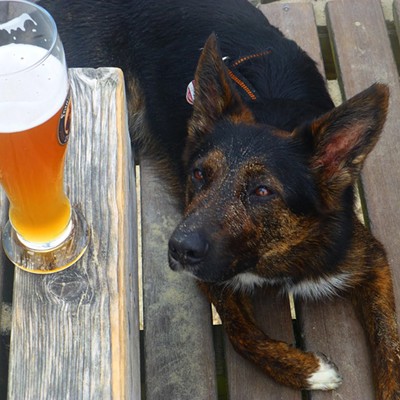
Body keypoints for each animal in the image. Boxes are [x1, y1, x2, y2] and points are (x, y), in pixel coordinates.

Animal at [39, 0, 400, 396]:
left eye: (262, 191)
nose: (178, 249)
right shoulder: (212, 275)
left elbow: (390, 346)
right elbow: (241, 334)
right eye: (199, 174)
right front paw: (308, 370)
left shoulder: (368, 259)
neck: (271, 256)